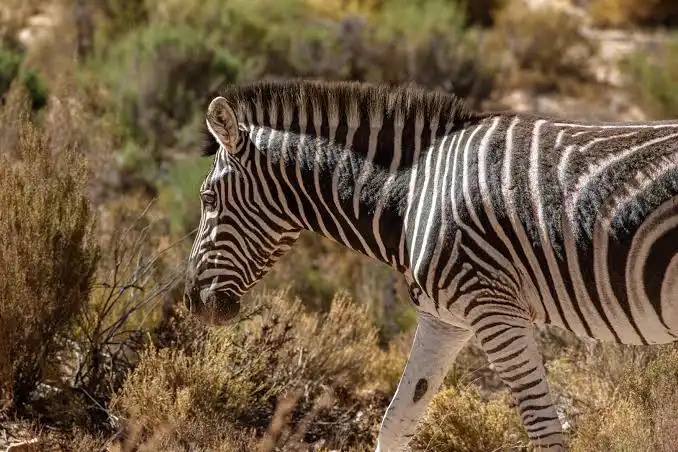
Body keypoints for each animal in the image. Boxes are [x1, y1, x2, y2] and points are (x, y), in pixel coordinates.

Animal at [184, 79, 678, 451]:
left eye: (207, 199)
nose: (193, 304)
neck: (413, 195)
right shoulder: (446, 319)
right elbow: (397, 421)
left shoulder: (496, 310)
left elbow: (544, 431)